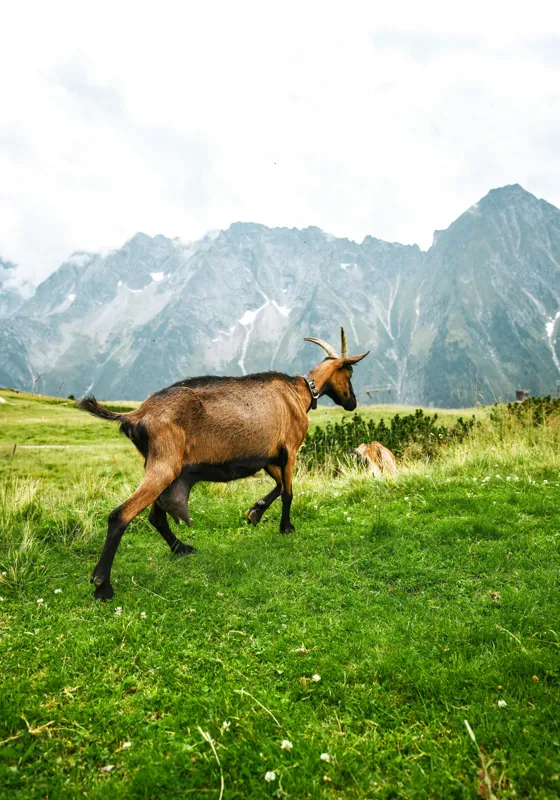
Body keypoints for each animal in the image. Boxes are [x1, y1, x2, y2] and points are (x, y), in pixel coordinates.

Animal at [77, 328, 369, 599]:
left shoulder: (267, 456)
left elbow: (278, 486)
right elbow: (288, 492)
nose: (353, 403)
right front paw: (286, 527)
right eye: (349, 374)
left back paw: (181, 548)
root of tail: (136, 415)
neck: (299, 393)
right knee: (121, 515)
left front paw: (255, 511)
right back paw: (103, 585)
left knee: (155, 516)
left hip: (163, 467)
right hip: (165, 464)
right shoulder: (290, 449)